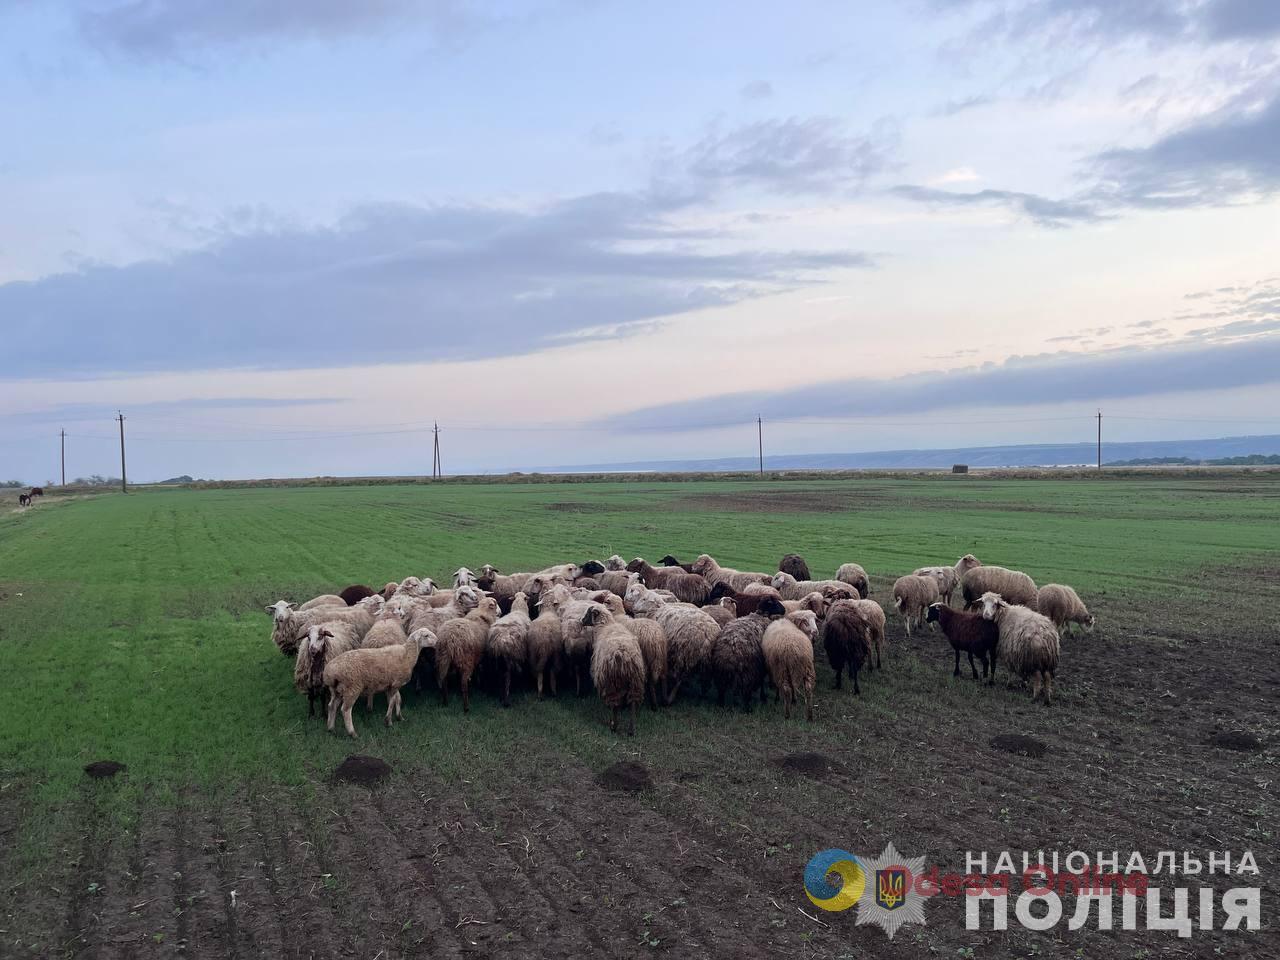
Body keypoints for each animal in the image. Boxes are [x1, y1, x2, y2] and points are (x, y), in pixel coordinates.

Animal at [583, 609, 645, 737]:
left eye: (588, 613)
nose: (582, 621)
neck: (605, 625)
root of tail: (623, 653)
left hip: (610, 680)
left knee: (614, 703)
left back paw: (614, 726)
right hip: (635, 680)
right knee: (632, 703)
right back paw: (631, 730)